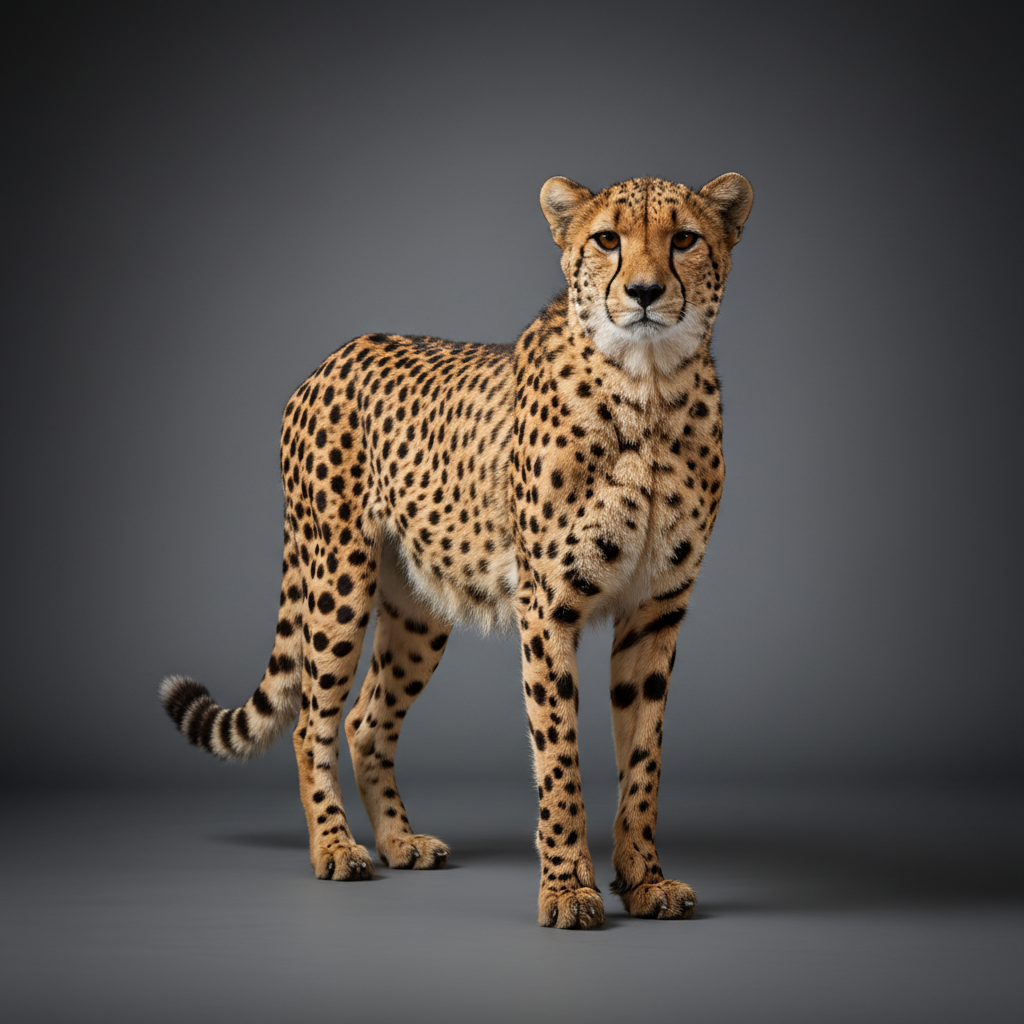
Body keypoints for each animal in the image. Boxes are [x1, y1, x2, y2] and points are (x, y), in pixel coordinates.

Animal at [160, 172, 753, 928]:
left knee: (365, 719)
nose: (645, 292)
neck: (648, 386)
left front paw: (644, 880)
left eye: (683, 239)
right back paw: (336, 848)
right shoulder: (548, 607)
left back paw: (399, 841)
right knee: (311, 721)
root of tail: (333, 356)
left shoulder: (656, 608)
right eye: (606, 239)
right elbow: (558, 753)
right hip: (338, 579)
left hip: (419, 607)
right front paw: (568, 888)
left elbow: (643, 756)